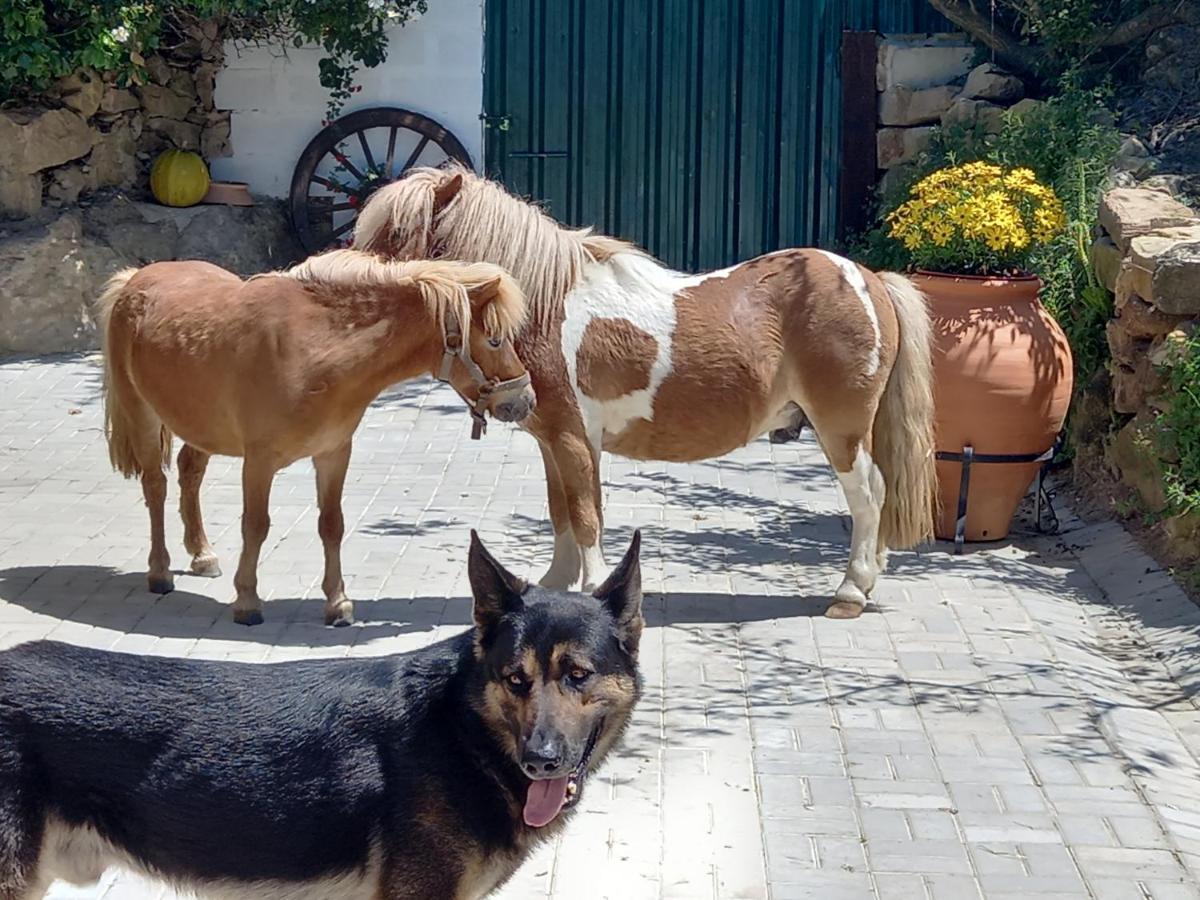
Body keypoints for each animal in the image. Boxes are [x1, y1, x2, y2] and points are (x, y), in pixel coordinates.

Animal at [96, 248, 537, 628]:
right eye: (495, 339)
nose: (525, 401)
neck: (315, 349)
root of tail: (134, 279)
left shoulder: (333, 453)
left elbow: (332, 525)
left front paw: (337, 603)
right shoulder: (259, 461)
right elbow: (255, 525)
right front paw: (247, 601)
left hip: (200, 425)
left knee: (189, 474)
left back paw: (202, 555)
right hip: (143, 415)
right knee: (156, 487)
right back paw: (159, 571)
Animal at [355, 168, 936, 619]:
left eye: (398, 233)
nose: (352, 279)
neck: (545, 305)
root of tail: (869, 279)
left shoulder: (574, 438)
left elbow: (586, 515)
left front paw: (591, 587)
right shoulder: (551, 441)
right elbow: (560, 512)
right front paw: (553, 586)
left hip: (841, 430)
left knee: (869, 496)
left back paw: (851, 591)